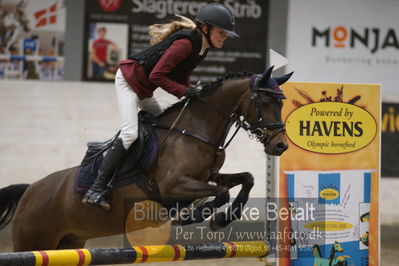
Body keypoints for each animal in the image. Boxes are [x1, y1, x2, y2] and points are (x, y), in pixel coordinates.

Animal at [0, 66, 294, 251]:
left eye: (281, 102)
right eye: (265, 103)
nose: (280, 145)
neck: (194, 130)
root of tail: (30, 191)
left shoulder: (208, 175)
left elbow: (246, 179)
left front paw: (221, 218)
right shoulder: (173, 185)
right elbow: (221, 192)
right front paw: (197, 216)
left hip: (69, 242)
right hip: (34, 241)